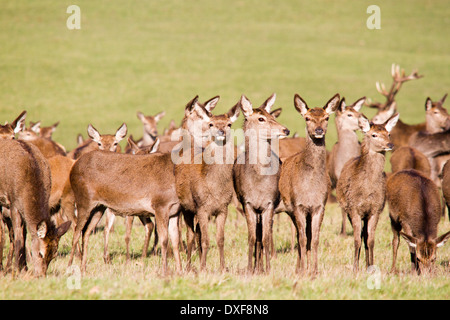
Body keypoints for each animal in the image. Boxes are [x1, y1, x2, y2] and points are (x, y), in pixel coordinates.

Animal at [0, 111, 70, 276]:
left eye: (54, 255)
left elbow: (24, 234)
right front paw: (18, 269)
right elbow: (18, 237)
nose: (41, 275)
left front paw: (23, 267)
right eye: (40, 253)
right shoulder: (13, 203)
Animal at [174, 95, 241, 272]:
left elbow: (220, 239)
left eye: (229, 124)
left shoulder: (223, 208)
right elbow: (205, 239)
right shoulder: (202, 208)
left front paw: (223, 267)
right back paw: (189, 266)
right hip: (187, 208)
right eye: (211, 123)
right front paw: (203, 268)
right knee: (190, 235)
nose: (221, 131)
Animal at [232, 93, 288, 272]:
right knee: (256, 235)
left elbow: (265, 238)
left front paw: (267, 269)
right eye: (261, 118)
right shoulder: (247, 202)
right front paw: (250, 269)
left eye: (272, 116)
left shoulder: (269, 203)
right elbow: (251, 237)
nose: (285, 130)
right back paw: (257, 266)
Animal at [280, 93, 340, 276]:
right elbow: (302, 238)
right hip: (289, 209)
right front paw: (305, 270)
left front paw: (314, 270)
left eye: (326, 117)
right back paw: (299, 268)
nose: (319, 130)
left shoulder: (319, 206)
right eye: (307, 118)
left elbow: (314, 239)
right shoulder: (298, 205)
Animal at [336, 112, 400, 270]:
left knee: (365, 235)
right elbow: (356, 239)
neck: (366, 191)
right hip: (347, 209)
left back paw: (366, 263)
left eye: (389, 133)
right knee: (360, 235)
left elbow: (371, 240)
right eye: (374, 135)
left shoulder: (376, 210)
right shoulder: (354, 209)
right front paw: (355, 267)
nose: (390, 145)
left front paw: (371, 265)